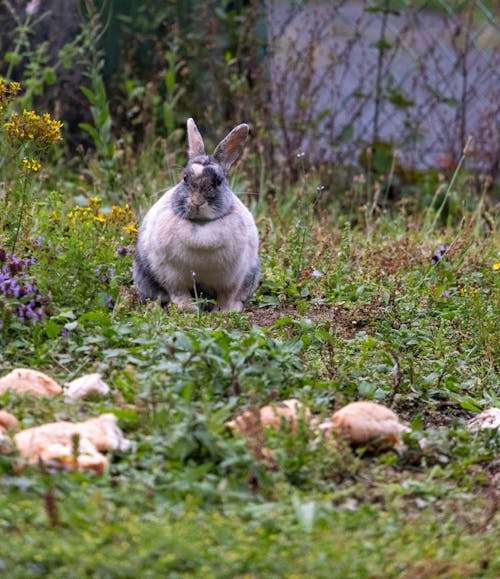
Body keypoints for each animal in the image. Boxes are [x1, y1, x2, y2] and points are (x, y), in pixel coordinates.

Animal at [133, 117, 260, 312]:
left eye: (218, 181)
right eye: (185, 178)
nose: (197, 202)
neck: (201, 224)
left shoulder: (233, 278)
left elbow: (227, 295)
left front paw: (224, 311)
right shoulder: (171, 274)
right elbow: (179, 292)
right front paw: (188, 308)